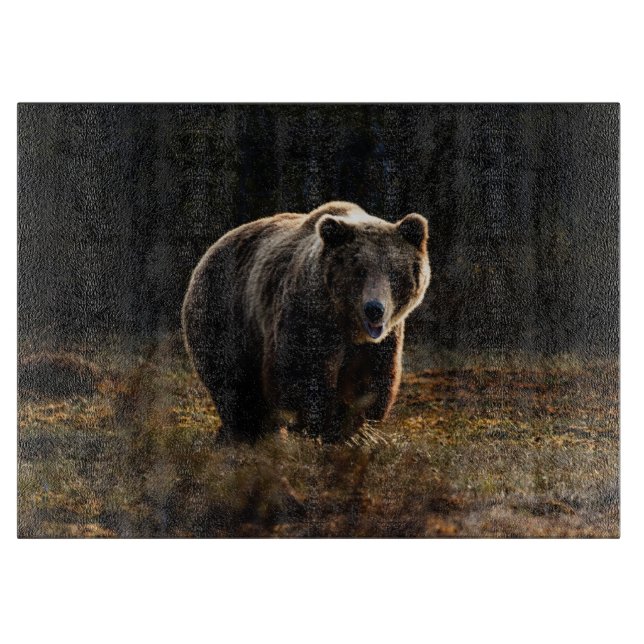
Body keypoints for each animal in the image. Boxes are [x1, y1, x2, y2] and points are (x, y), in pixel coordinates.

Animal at [182, 201, 430, 442]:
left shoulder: (381, 342)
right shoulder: (307, 318)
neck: (345, 323)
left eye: (394, 272)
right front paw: (317, 426)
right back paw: (243, 433)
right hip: (225, 313)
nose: (374, 310)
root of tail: (209, 251)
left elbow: (370, 381)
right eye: (359, 271)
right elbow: (302, 375)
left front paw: (353, 430)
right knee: (233, 384)